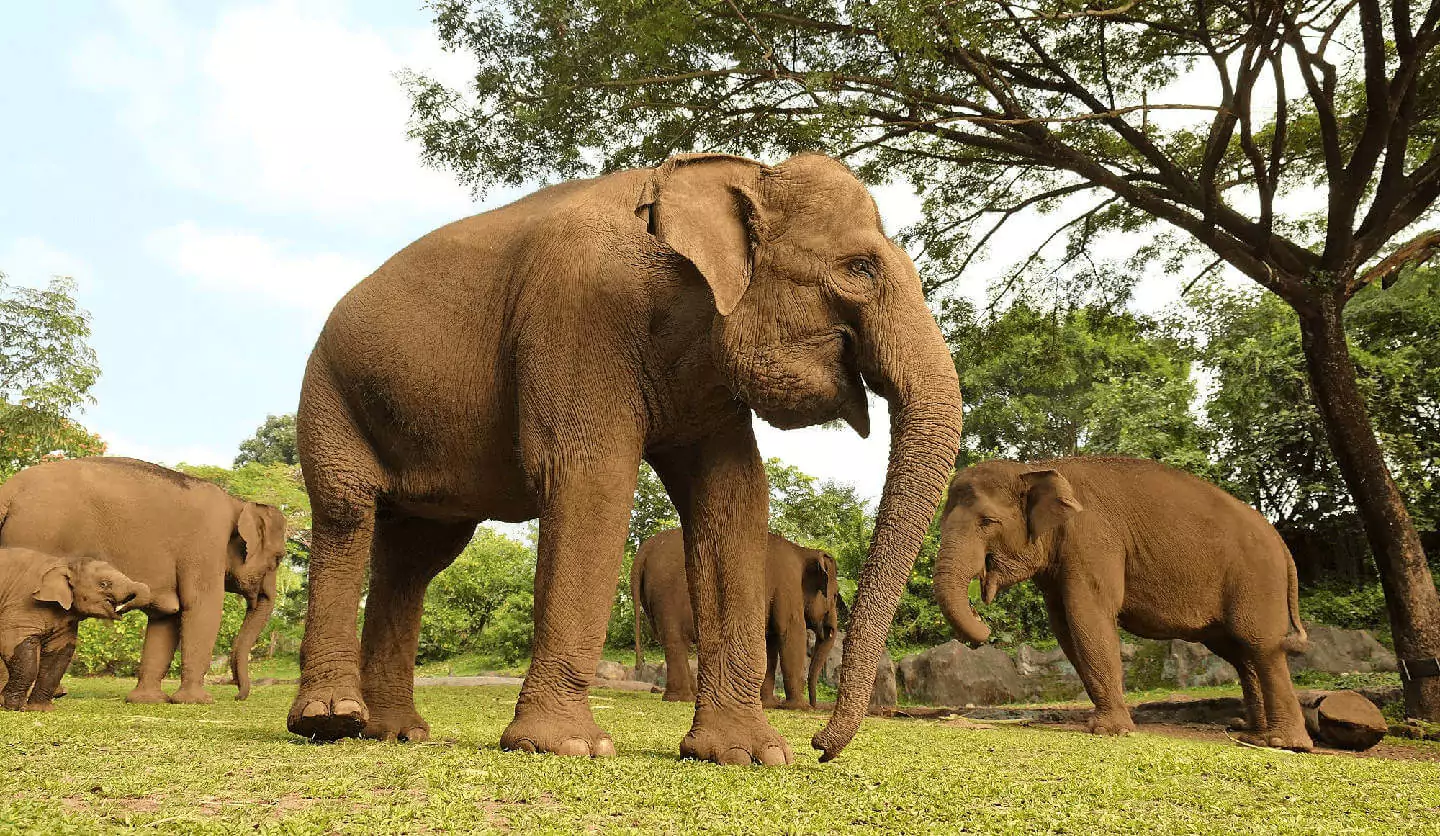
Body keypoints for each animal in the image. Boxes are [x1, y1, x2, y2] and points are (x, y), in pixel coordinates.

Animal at [0, 546, 156, 710]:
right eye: (104, 584)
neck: (62, 562)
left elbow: (58, 656)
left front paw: (41, 709)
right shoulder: (20, 606)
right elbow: (14, 644)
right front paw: (13, 707)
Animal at [630, 529, 840, 705]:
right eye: (836, 595)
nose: (814, 704)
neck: (803, 551)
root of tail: (645, 549)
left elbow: (770, 641)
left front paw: (769, 704)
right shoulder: (787, 585)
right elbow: (790, 633)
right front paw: (798, 707)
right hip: (667, 594)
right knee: (675, 640)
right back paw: (682, 698)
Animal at [933, 457, 1319, 748]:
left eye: (988, 521)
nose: (984, 625)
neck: (1037, 467)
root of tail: (1282, 545)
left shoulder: (1092, 539)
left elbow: (1088, 615)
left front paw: (1110, 731)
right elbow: (1065, 627)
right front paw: (1109, 725)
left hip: (1257, 579)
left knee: (1261, 645)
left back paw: (1284, 743)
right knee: (1240, 653)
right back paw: (1253, 735)